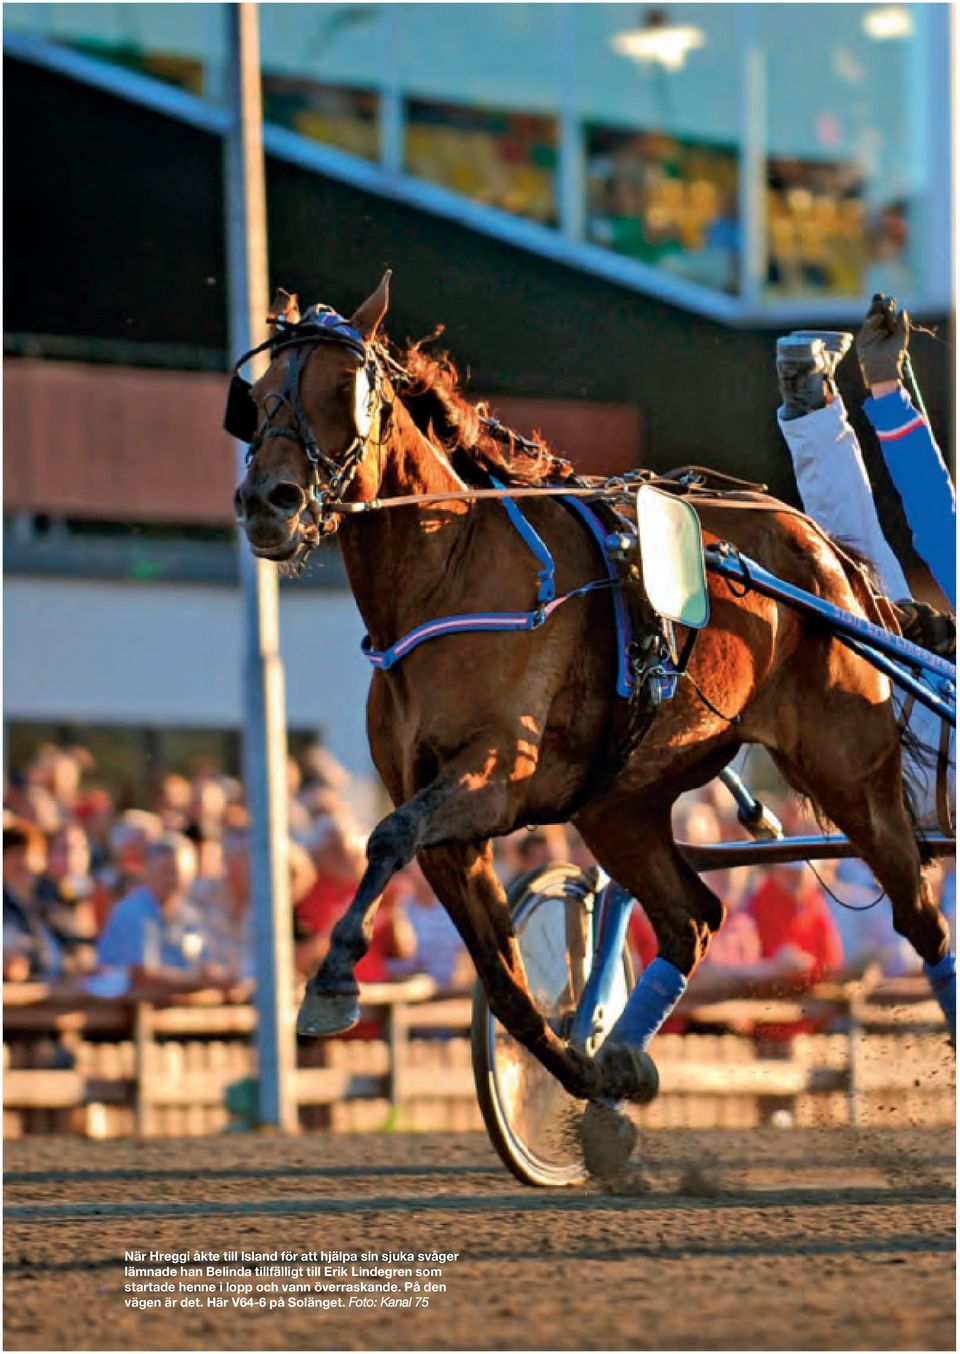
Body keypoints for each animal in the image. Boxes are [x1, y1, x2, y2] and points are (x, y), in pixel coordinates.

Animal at [235, 272, 947, 1099]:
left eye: (343, 386)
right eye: (257, 395)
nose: (268, 501)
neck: (448, 577)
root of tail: (826, 553)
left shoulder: (495, 776)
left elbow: (387, 836)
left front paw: (332, 981)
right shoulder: (454, 824)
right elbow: (505, 985)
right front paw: (585, 1068)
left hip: (851, 775)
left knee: (922, 920)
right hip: (620, 802)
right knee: (691, 918)